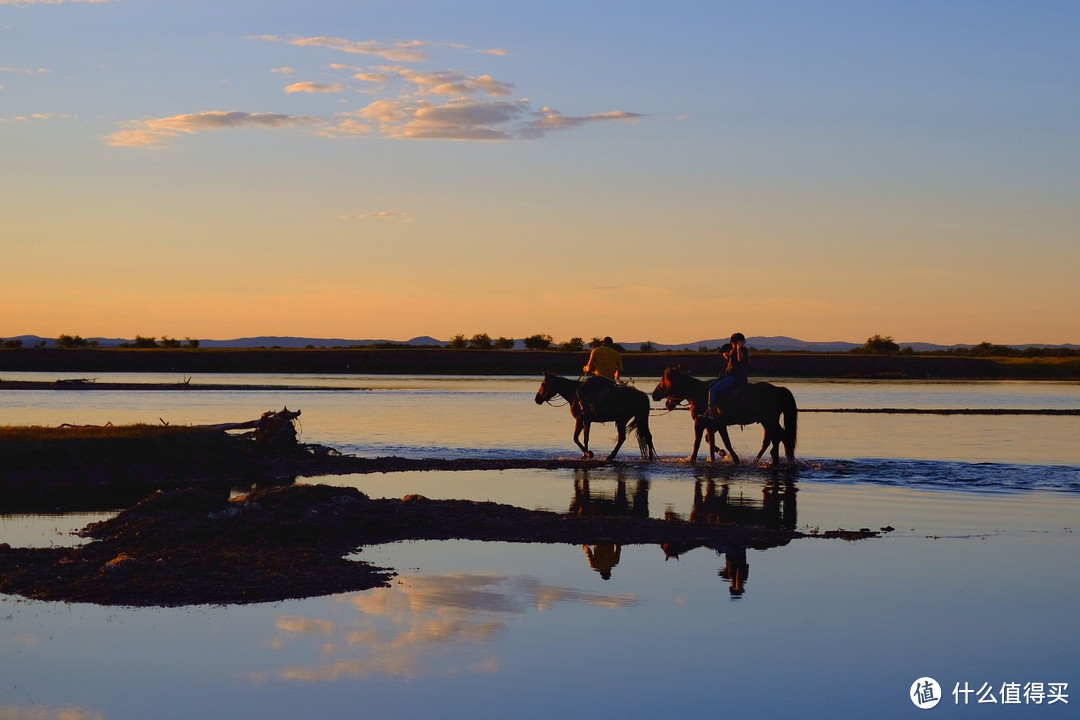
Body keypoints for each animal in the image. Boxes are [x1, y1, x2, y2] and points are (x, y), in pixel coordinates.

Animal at [648, 369, 794, 464]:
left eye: (663, 380)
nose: (654, 395)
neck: (700, 394)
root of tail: (778, 389)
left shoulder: (703, 423)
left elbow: (701, 443)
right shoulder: (713, 425)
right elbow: (710, 441)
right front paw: (719, 455)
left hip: (769, 421)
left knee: (777, 437)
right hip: (767, 421)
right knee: (775, 438)